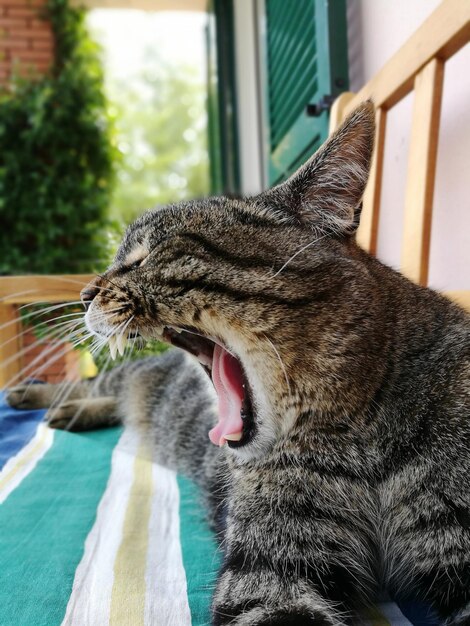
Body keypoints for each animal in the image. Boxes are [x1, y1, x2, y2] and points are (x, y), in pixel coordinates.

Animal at [5, 103, 468, 624]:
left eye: (145, 257)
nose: (84, 293)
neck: (357, 428)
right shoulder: (271, 571)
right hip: (136, 375)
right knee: (102, 384)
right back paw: (41, 396)